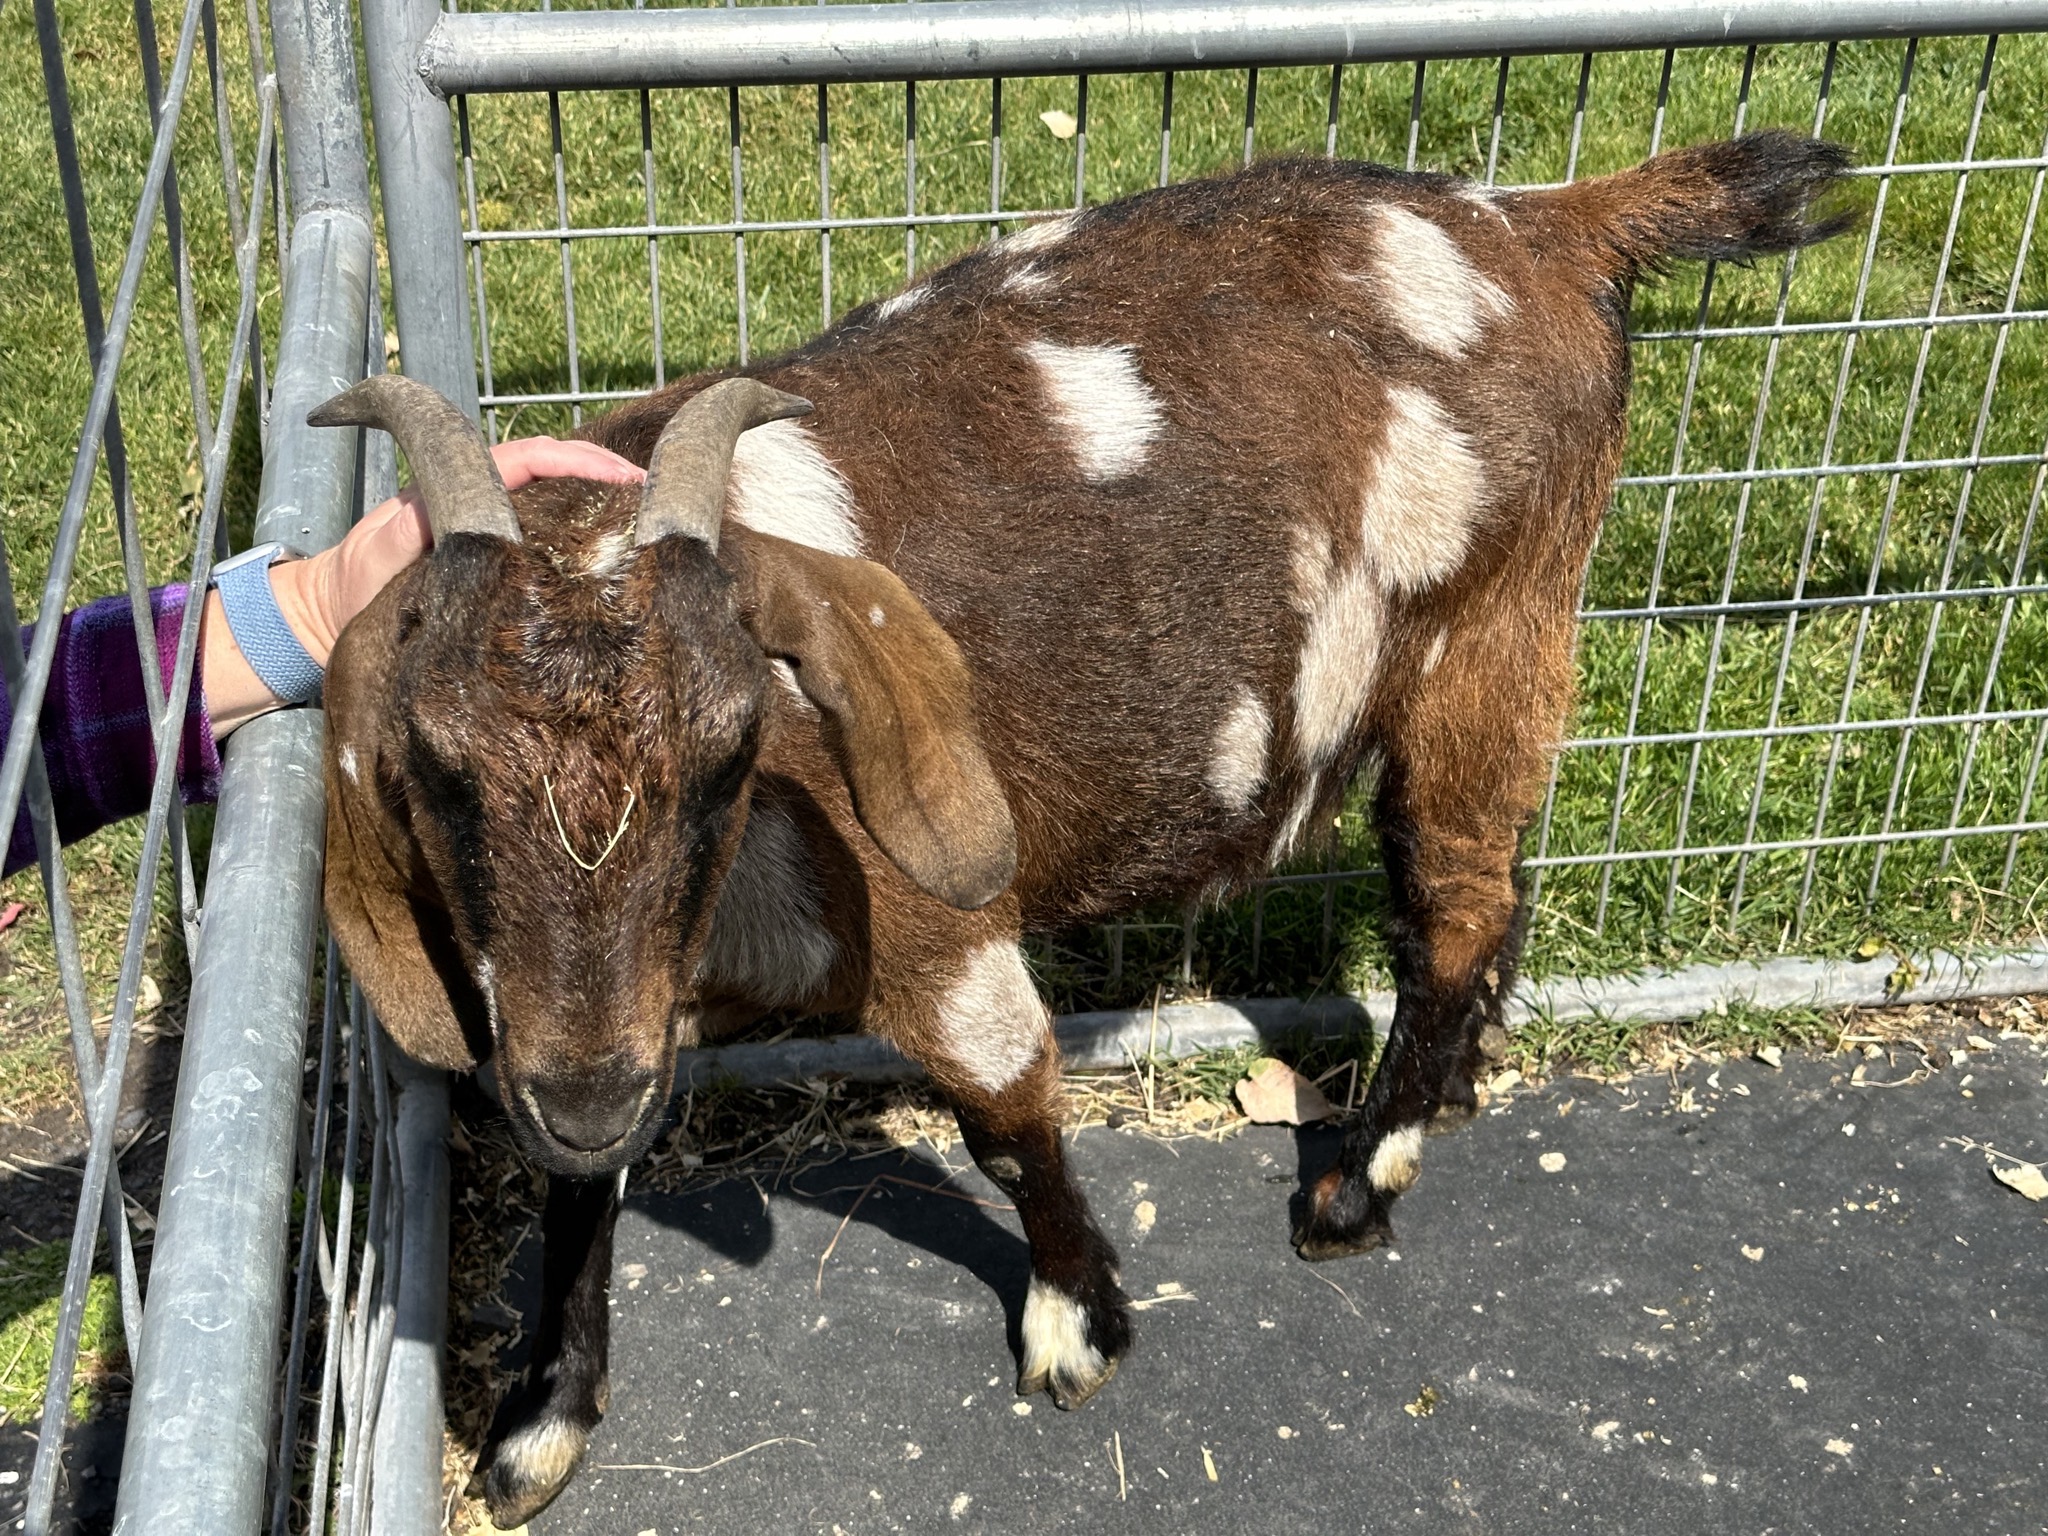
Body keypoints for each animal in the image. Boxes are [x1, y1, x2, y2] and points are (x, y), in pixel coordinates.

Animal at [310, 130, 1851, 1526]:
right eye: (432, 768)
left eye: (733, 745)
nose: (576, 1092)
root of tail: (1539, 225)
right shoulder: (608, 1004)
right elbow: (587, 1175)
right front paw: (538, 1425)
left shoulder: (932, 927)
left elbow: (1002, 1109)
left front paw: (1076, 1324)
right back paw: (1447, 1098)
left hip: (1489, 632)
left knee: (1459, 905)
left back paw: (1355, 1190)